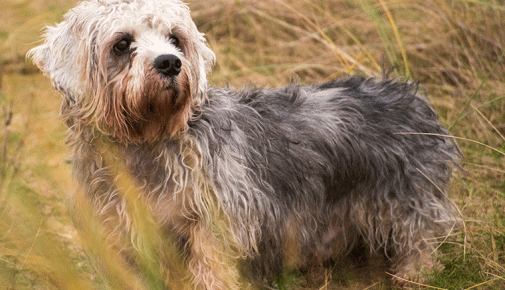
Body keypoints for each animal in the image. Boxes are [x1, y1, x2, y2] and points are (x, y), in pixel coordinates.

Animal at [28, 0, 460, 288]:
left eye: (175, 38)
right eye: (121, 44)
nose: (170, 63)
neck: (145, 144)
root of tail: (407, 93)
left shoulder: (213, 228)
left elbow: (213, 273)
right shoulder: (122, 234)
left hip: (407, 208)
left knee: (419, 248)